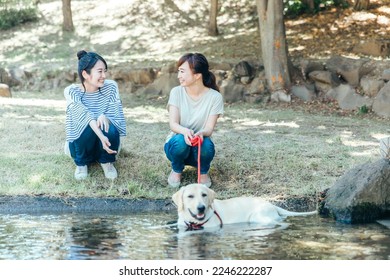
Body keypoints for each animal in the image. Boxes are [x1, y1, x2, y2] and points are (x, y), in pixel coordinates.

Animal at [173, 184, 316, 230]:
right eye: (190, 196)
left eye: (204, 195)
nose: (201, 208)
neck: (194, 222)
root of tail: (271, 204)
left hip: (257, 217)